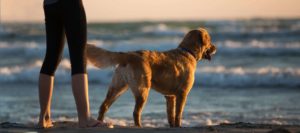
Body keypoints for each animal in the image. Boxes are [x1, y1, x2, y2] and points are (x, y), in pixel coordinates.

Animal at [86, 28, 216, 128]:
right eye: (210, 40)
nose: (215, 48)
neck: (188, 52)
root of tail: (129, 54)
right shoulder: (182, 94)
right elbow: (178, 114)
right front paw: (178, 126)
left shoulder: (170, 96)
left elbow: (170, 114)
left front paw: (172, 126)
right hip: (142, 90)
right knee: (135, 112)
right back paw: (139, 126)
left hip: (118, 87)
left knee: (104, 106)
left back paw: (100, 123)